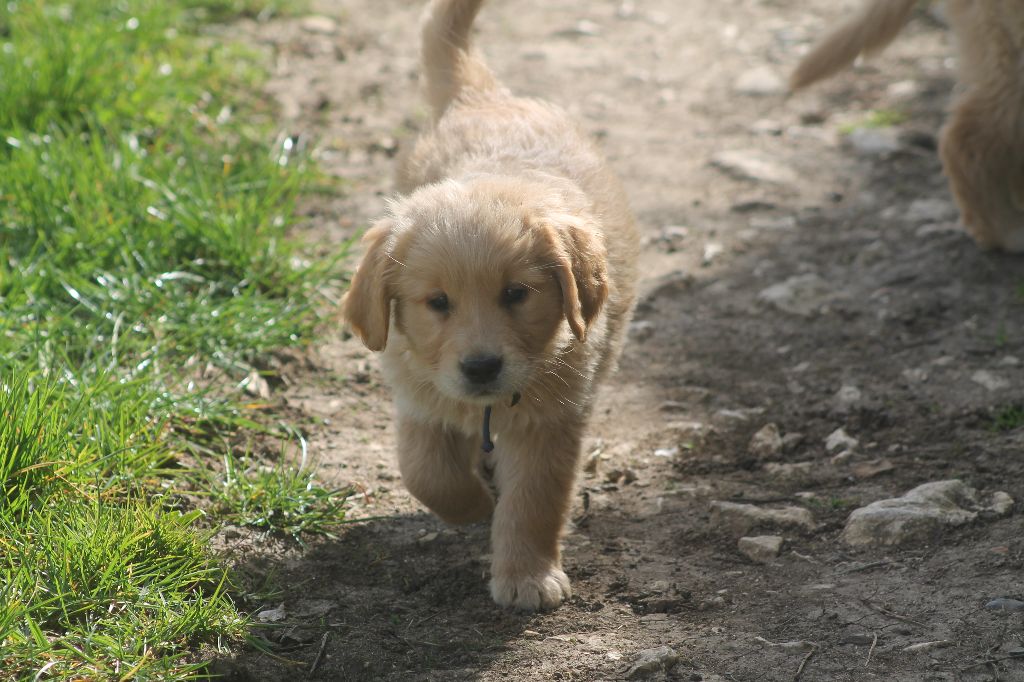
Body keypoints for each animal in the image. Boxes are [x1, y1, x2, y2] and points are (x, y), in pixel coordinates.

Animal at [339, 0, 634, 606]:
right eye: (437, 302)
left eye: (516, 294)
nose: (481, 367)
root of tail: (484, 96)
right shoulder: (418, 392)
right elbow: (427, 474)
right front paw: (474, 504)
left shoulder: (552, 421)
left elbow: (535, 502)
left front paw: (526, 577)